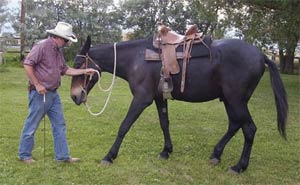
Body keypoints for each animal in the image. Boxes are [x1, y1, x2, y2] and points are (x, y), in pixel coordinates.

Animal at [69, 35, 288, 173]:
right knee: (235, 125)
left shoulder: (141, 99)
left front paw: (109, 156)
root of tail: (261, 55)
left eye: (79, 65)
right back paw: (216, 154)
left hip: (236, 100)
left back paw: (239, 166)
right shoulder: (159, 98)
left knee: (249, 129)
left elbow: (124, 126)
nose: (74, 96)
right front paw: (166, 151)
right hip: (230, 100)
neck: (138, 58)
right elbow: (164, 124)